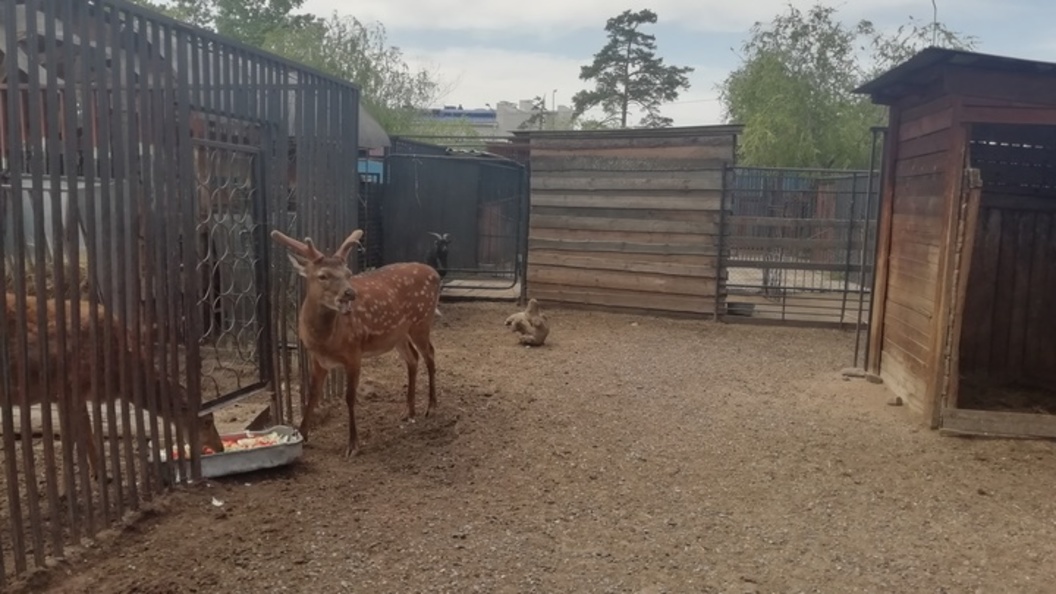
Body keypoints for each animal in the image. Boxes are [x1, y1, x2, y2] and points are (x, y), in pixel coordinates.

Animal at [6, 291, 224, 481]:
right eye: (207, 421)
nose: (220, 447)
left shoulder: (71, 394)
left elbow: (86, 431)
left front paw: (101, 475)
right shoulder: (68, 387)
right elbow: (71, 439)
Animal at [272, 225, 441, 452]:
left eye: (348, 273)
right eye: (322, 275)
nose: (350, 293)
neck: (324, 341)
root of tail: (435, 273)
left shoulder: (354, 353)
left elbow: (350, 397)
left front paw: (353, 444)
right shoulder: (317, 358)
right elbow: (313, 393)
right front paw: (301, 434)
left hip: (422, 321)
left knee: (430, 354)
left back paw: (431, 407)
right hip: (397, 334)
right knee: (413, 357)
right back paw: (408, 411)